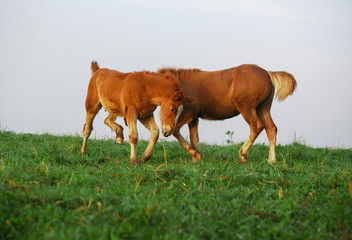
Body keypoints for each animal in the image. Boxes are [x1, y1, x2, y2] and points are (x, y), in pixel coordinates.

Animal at [158, 64, 296, 164]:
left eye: (171, 109)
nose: (164, 131)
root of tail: (268, 73)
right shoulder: (194, 117)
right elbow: (194, 137)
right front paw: (195, 158)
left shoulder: (189, 113)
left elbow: (176, 131)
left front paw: (194, 154)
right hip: (263, 108)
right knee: (271, 128)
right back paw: (271, 160)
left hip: (246, 108)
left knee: (256, 127)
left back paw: (243, 154)